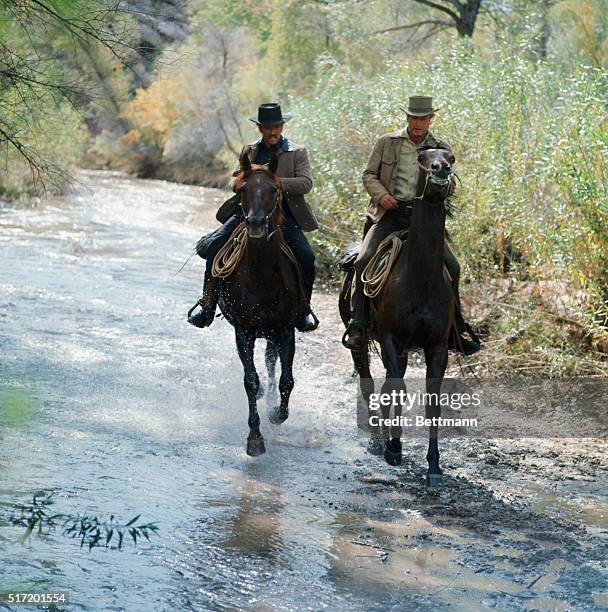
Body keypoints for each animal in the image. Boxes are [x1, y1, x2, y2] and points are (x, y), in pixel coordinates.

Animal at [221, 154, 302, 454]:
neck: (262, 278)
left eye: (274, 190)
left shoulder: (286, 330)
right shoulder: (243, 331)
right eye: (242, 190)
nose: (256, 224)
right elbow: (250, 380)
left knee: (270, 363)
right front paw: (255, 437)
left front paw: (277, 414)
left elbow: (286, 380)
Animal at [340, 146, 454, 486]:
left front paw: (433, 465)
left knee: (389, 384)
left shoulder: (437, 347)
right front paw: (393, 448)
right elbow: (397, 389)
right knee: (369, 384)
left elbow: (431, 401)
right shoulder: (390, 338)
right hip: (362, 342)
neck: (419, 279)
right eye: (423, 158)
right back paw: (379, 441)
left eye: (451, 157)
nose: (441, 170)